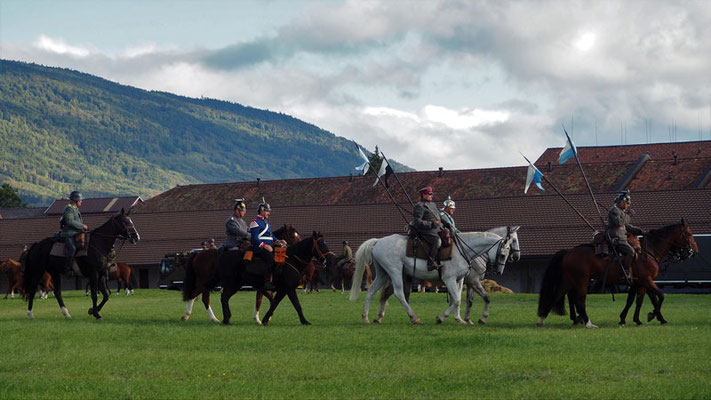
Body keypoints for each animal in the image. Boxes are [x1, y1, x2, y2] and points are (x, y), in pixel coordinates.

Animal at [350, 231, 512, 324]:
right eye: (503, 254)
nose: (498, 271)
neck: (463, 250)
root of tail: (378, 241)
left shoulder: (459, 280)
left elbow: (457, 299)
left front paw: (457, 319)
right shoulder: (450, 279)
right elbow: (457, 299)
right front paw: (445, 318)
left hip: (383, 272)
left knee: (371, 291)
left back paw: (366, 317)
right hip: (395, 271)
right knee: (399, 293)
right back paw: (414, 318)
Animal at [540, 219, 696, 328]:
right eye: (688, 233)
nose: (691, 251)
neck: (647, 252)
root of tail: (569, 251)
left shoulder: (638, 283)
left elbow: (634, 301)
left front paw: (628, 319)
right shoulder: (646, 281)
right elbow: (660, 296)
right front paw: (651, 315)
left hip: (569, 281)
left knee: (557, 296)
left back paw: (543, 320)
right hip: (581, 281)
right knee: (579, 301)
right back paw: (588, 323)